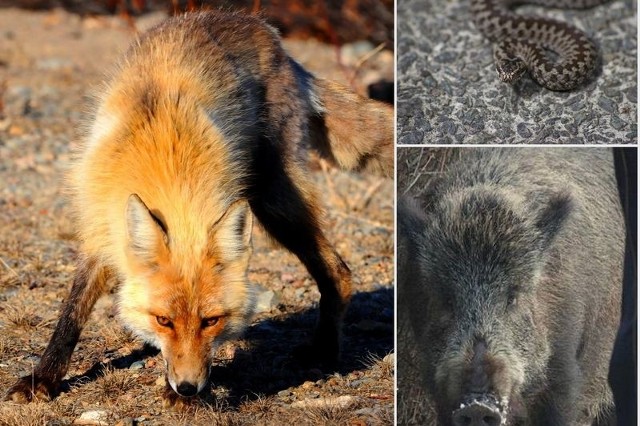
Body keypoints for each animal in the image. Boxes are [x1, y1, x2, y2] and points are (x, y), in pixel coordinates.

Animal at [5, 9, 392, 402]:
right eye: (164, 321)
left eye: (211, 322)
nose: (188, 388)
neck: (165, 165)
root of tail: (269, 35)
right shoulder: (100, 229)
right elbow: (72, 313)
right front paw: (43, 378)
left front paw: (175, 395)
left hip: (274, 200)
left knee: (338, 271)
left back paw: (325, 350)